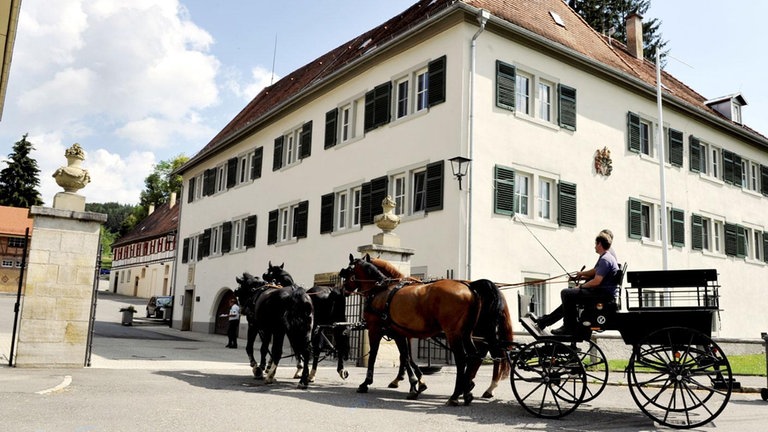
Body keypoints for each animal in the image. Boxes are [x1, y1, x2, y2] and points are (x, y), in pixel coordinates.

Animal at [340, 253, 510, 404]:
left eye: (347, 272)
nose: (343, 291)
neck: (381, 290)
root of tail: (470, 287)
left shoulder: (376, 329)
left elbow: (376, 355)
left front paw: (366, 383)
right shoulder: (399, 332)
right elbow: (405, 356)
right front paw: (415, 383)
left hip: (455, 333)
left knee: (465, 358)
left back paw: (458, 394)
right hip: (468, 334)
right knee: (476, 355)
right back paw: (468, 390)